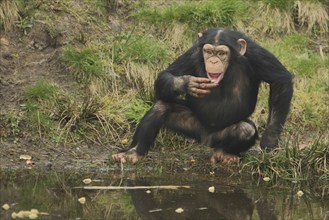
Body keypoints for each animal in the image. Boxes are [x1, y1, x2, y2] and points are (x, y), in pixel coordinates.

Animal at [111, 27, 292, 164]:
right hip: (192, 128)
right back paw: (134, 152)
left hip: (218, 137)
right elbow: (166, 74)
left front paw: (269, 141)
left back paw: (225, 154)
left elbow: (280, 80)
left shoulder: (256, 54)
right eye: (209, 51)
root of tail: (206, 140)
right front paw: (185, 83)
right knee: (162, 106)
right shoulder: (192, 53)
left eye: (221, 54)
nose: (213, 61)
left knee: (245, 129)